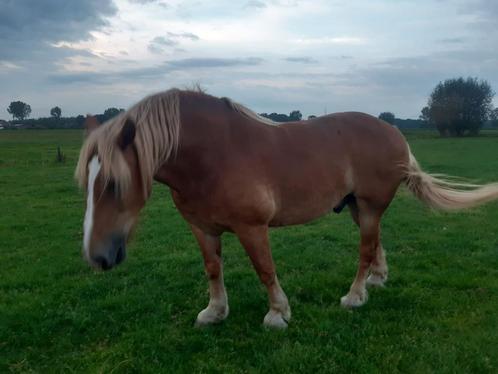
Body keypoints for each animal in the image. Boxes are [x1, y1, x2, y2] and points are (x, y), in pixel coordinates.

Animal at [76, 87, 498, 328]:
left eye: (114, 184)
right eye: (86, 183)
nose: (97, 257)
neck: (212, 154)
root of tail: (394, 132)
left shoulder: (251, 227)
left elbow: (265, 269)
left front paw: (278, 314)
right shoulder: (202, 227)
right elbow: (213, 269)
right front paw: (215, 312)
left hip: (369, 207)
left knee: (365, 250)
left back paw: (355, 297)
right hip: (356, 208)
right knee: (376, 244)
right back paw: (377, 281)